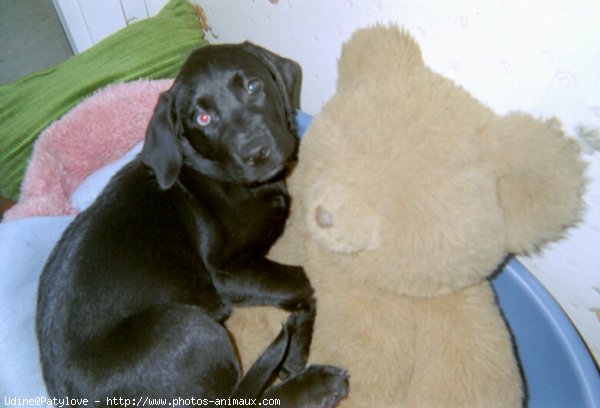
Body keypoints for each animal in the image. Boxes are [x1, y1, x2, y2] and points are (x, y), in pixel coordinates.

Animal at [36, 43, 346, 406]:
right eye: (203, 118)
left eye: (253, 86)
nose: (257, 152)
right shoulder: (228, 272)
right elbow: (304, 280)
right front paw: (298, 346)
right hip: (187, 325)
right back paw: (318, 384)